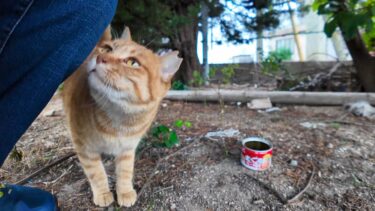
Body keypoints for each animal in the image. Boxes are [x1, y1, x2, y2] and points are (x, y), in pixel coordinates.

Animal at [62, 26, 182, 208]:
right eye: (108, 49)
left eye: (132, 62)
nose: (100, 57)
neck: (118, 119)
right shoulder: (84, 147)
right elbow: (96, 172)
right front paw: (103, 193)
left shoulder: (128, 147)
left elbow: (125, 171)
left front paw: (124, 192)